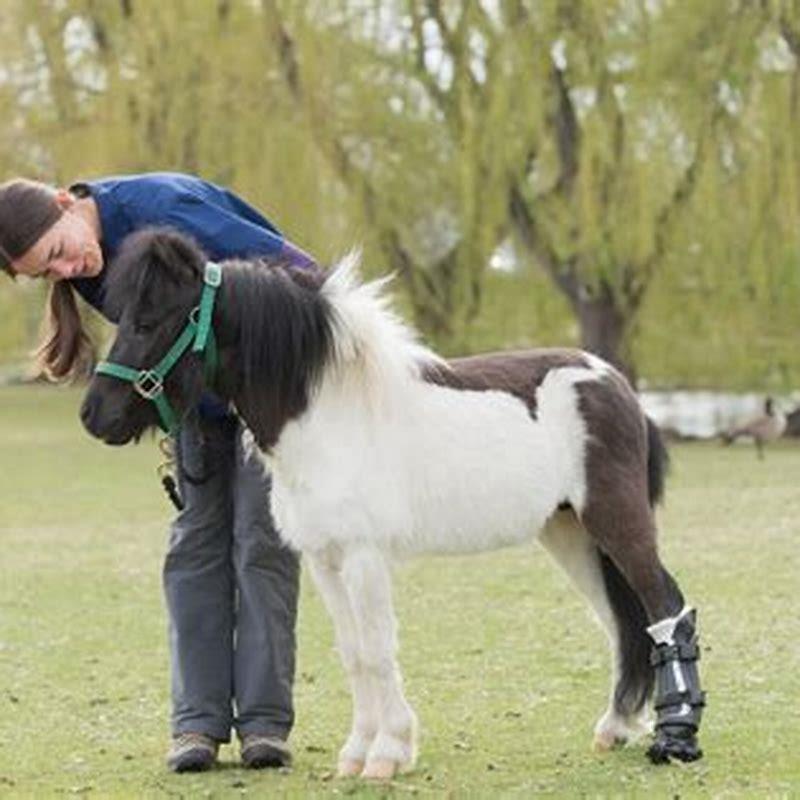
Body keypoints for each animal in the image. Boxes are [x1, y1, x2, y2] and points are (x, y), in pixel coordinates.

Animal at [81, 228, 705, 779]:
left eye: (149, 320)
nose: (94, 415)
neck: (329, 412)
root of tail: (616, 384)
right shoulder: (325, 560)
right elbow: (355, 654)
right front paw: (357, 755)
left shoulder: (363, 557)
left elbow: (379, 651)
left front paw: (387, 755)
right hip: (571, 535)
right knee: (621, 624)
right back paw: (614, 729)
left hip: (616, 521)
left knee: (664, 606)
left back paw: (676, 738)